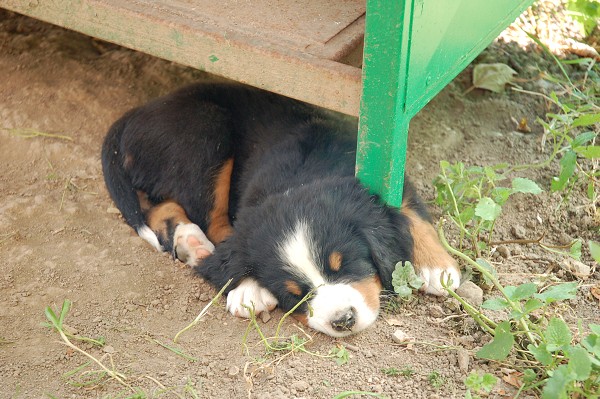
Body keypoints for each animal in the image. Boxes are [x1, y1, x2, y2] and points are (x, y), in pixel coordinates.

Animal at [102, 83, 460, 338]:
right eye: (296, 295)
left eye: (346, 265)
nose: (343, 320)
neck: (301, 178)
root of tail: (136, 112)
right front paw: (248, 287)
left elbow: (411, 212)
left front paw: (436, 268)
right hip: (207, 136)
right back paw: (195, 244)